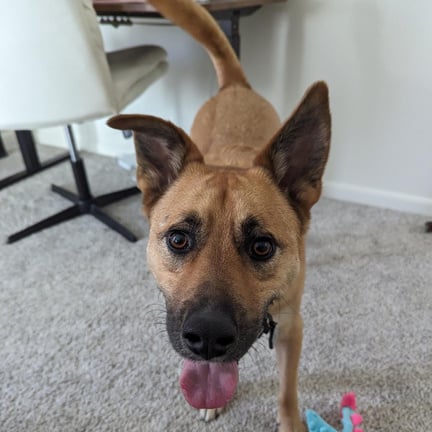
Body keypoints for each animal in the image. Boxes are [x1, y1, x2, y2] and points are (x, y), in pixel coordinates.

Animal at [108, 0, 330, 428]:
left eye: (262, 247)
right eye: (178, 239)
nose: (207, 338)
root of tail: (234, 87)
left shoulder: (292, 327)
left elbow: (287, 391)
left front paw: (291, 423)